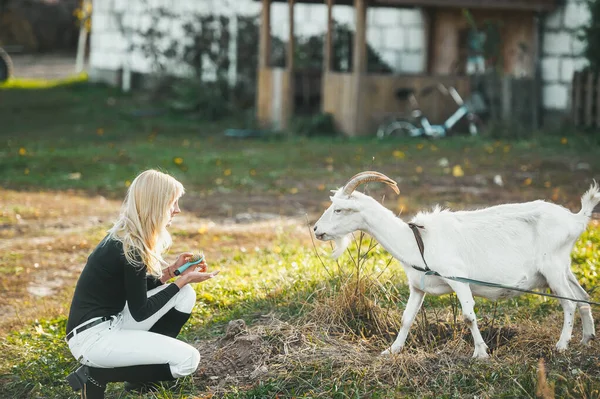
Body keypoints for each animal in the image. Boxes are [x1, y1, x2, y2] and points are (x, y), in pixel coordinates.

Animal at [314, 171, 600, 360]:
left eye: (338, 210)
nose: (316, 230)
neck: (416, 241)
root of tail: (576, 219)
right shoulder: (417, 287)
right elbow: (407, 319)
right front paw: (392, 350)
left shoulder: (457, 278)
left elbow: (468, 315)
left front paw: (481, 353)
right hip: (563, 267)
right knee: (583, 298)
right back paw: (587, 339)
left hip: (553, 268)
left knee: (569, 303)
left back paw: (561, 345)